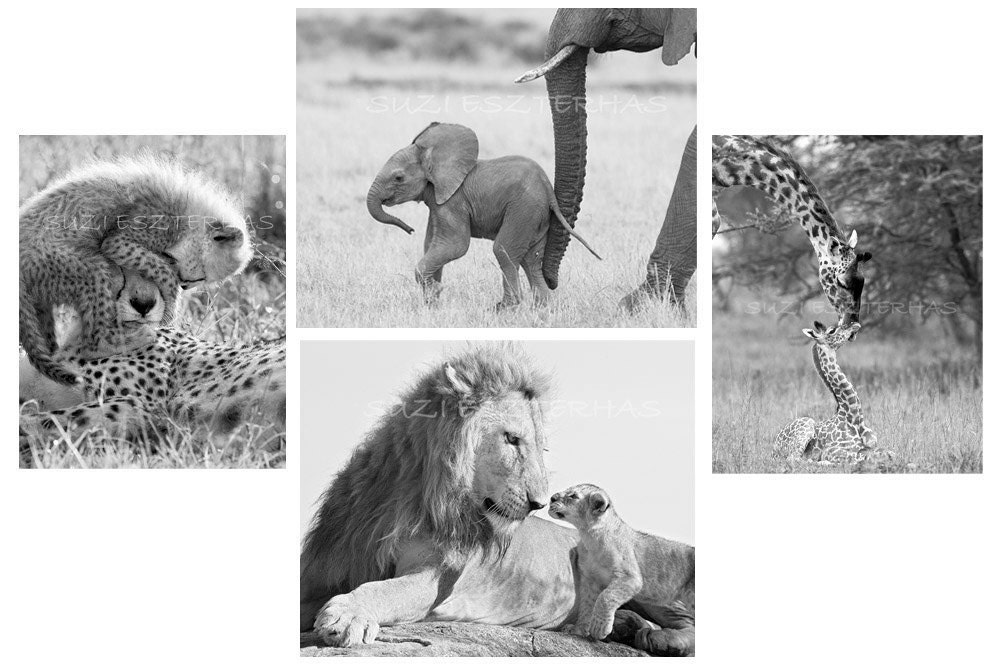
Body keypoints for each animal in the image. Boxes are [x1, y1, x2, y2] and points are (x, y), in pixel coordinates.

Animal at [366, 122, 600, 308]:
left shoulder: (453, 201)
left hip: (524, 208)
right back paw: (543, 309)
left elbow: (455, 245)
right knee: (531, 259)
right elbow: (431, 244)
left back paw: (505, 309)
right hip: (537, 216)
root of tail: (548, 190)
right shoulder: (438, 201)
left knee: (504, 250)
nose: (410, 229)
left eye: (398, 178)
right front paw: (432, 303)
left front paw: (434, 292)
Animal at [773, 321, 891, 466]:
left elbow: (888, 452)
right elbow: (860, 458)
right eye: (832, 330)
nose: (855, 324)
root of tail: (773, 449)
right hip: (806, 424)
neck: (854, 418)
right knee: (793, 459)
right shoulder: (832, 451)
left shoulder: (873, 445)